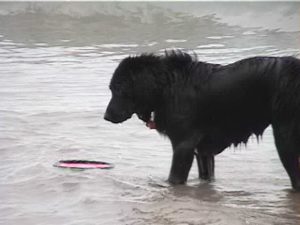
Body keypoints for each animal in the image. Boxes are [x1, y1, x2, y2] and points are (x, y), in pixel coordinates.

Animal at [104, 50, 300, 190]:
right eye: (111, 89)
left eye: (119, 89)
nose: (106, 117)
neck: (167, 87)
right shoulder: (203, 151)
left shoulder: (184, 146)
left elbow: (175, 178)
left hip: (284, 137)